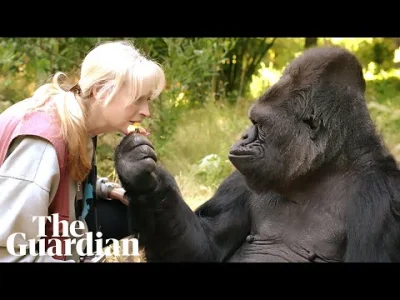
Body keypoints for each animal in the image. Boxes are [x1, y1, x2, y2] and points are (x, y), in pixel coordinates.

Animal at [113, 45, 400, 262]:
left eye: (259, 125)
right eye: (252, 121)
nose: (243, 136)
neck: (323, 169)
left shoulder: (383, 203)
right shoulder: (242, 178)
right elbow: (206, 249)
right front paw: (141, 176)